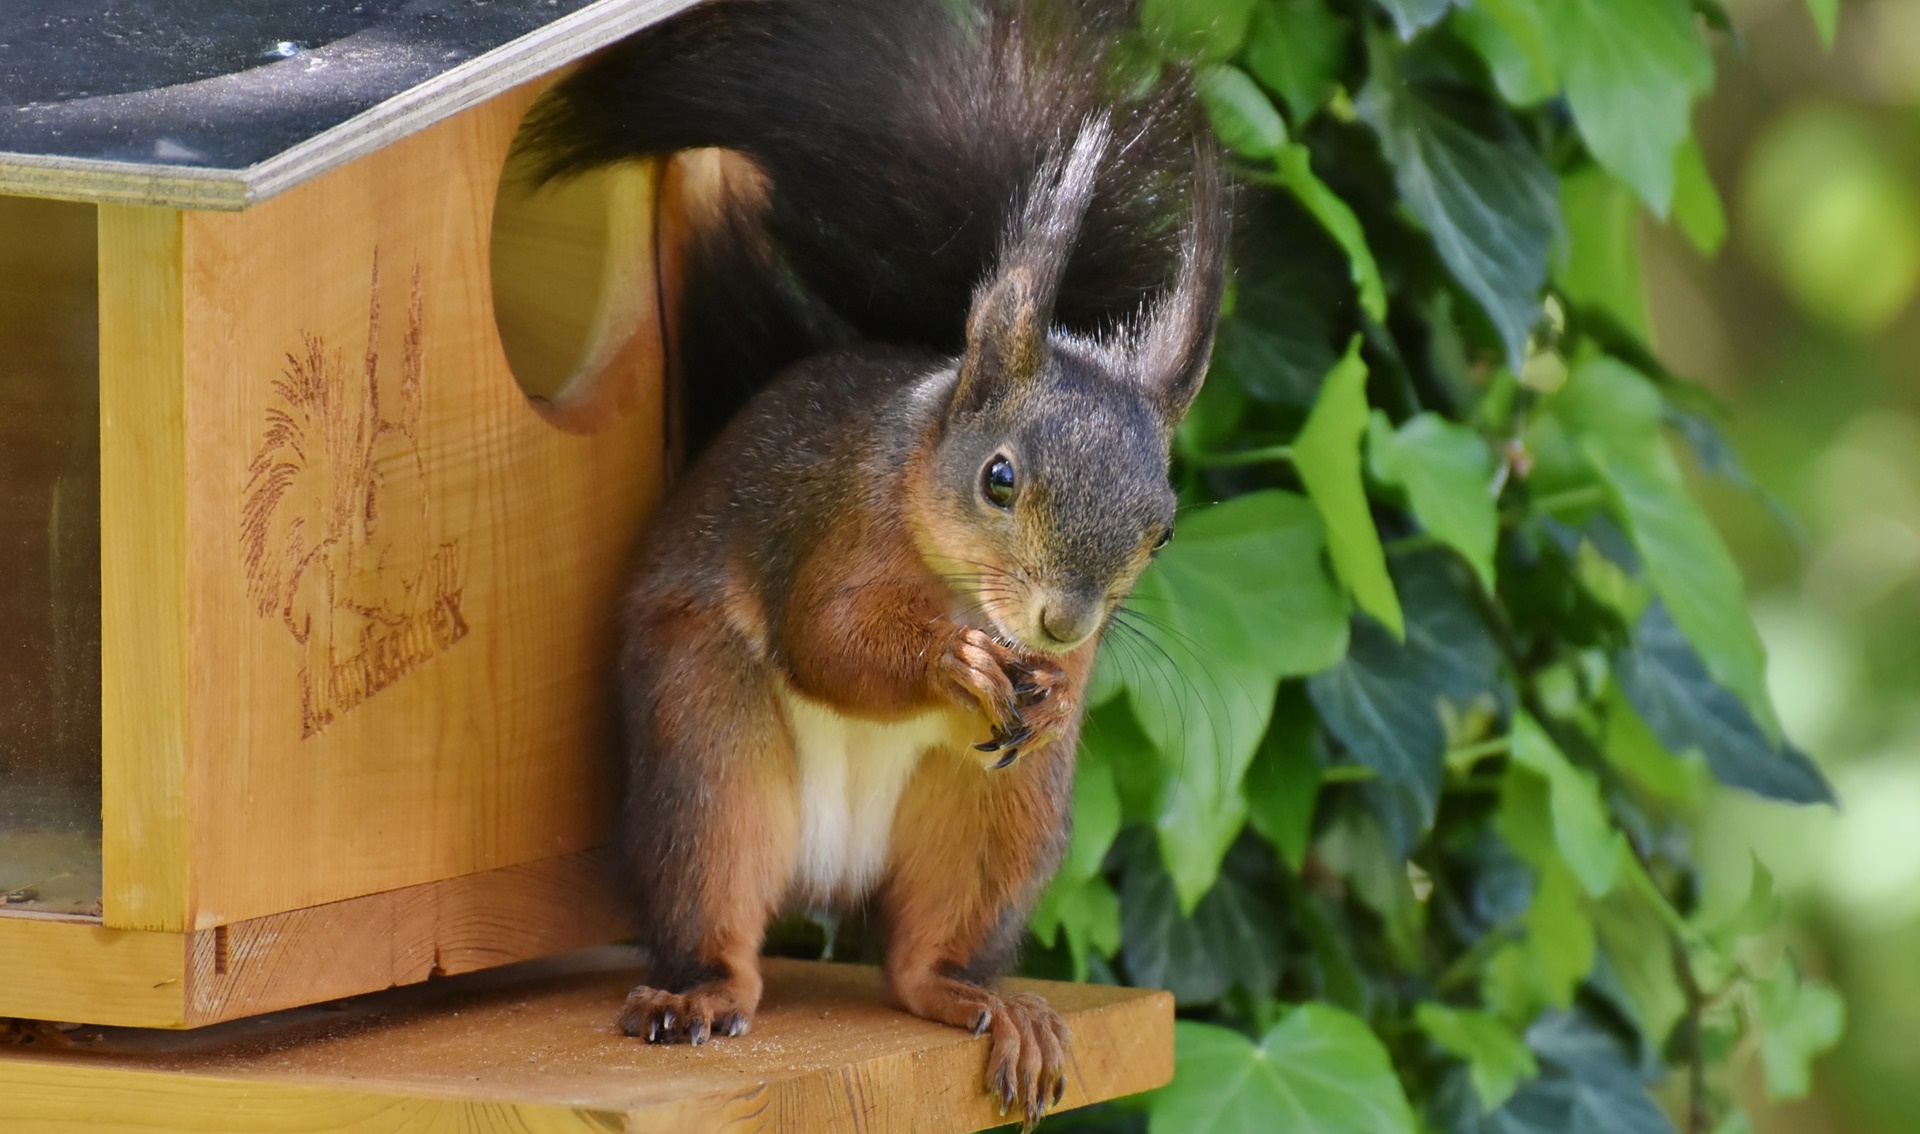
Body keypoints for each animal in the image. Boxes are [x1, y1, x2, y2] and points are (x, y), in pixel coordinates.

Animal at [522, 0, 1228, 1120]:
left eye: (1162, 529)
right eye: (997, 478)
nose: (1062, 622)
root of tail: (830, 873)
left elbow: (1053, 683)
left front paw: (1054, 694)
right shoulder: (830, 530)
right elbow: (826, 639)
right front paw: (953, 663)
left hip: (999, 818)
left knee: (919, 957)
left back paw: (988, 1004)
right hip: (708, 748)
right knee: (718, 900)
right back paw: (699, 991)